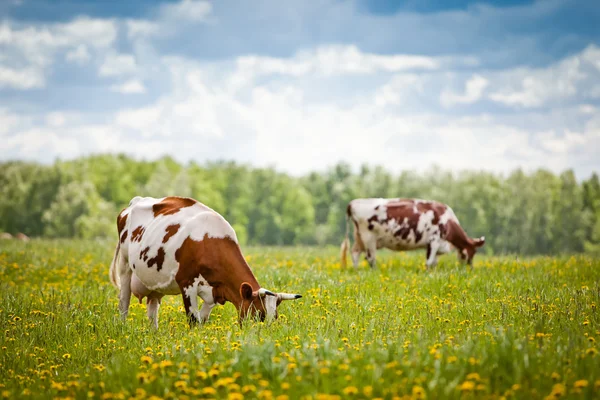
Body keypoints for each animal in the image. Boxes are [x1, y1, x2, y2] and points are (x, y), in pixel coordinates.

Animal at [109, 195, 300, 328]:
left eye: (274, 318)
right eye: (258, 315)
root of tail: (137, 201)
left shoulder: (215, 292)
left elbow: (202, 319)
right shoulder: (187, 283)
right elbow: (194, 321)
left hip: (154, 281)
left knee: (152, 310)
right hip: (125, 266)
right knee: (124, 302)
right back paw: (123, 328)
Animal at [340, 199, 486, 270]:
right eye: (471, 253)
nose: (469, 268)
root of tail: (352, 203)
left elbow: (434, 262)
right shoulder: (434, 240)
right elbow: (429, 261)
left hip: (359, 238)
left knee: (355, 253)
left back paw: (356, 270)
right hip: (369, 238)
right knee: (370, 258)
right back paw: (374, 271)